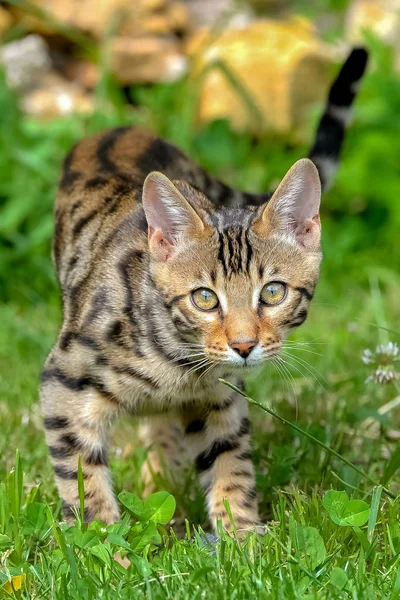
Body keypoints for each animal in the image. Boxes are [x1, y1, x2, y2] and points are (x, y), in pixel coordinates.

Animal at [41, 48, 368, 536]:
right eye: (204, 298)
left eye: (273, 293)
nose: (244, 346)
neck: (174, 362)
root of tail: (122, 128)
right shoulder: (63, 379)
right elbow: (82, 479)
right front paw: (101, 543)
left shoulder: (219, 395)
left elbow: (229, 459)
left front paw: (242, 535)